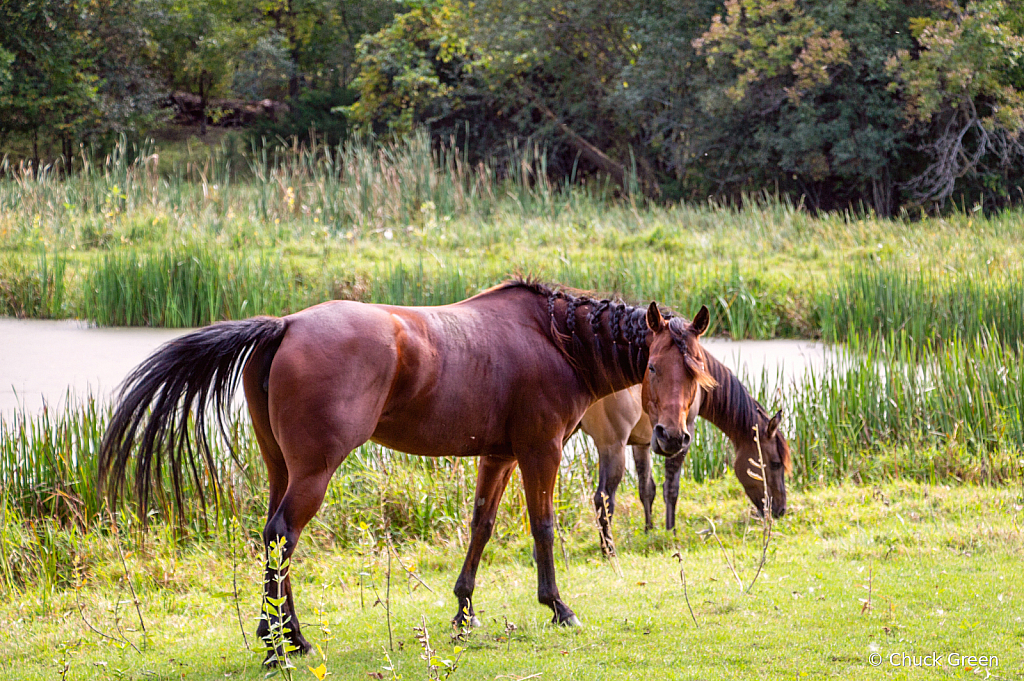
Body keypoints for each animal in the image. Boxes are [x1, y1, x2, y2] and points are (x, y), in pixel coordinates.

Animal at [99, 278, 716, 655]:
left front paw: (464, 610)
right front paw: (558, 607)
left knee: (273, 541)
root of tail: (286, 325)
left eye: (695, 370)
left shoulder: (499, 455)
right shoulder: (541, 451)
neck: (554, 340)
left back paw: (281, 635)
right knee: (281, 535)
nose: (672, 436)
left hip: (282, 469)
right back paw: (283, 645)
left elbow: (481, 526)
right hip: (314, 473)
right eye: (653, 367)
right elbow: (542, 527)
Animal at [581, 348, 786, 548]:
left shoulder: (642, 443)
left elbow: (646, 489)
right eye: (776, 464)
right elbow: (671, 488)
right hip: (612, 446)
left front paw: (649, 531)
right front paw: (671, 533)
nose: (780, 510)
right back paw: (608, 549)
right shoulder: (681, 435)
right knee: (603, 497)